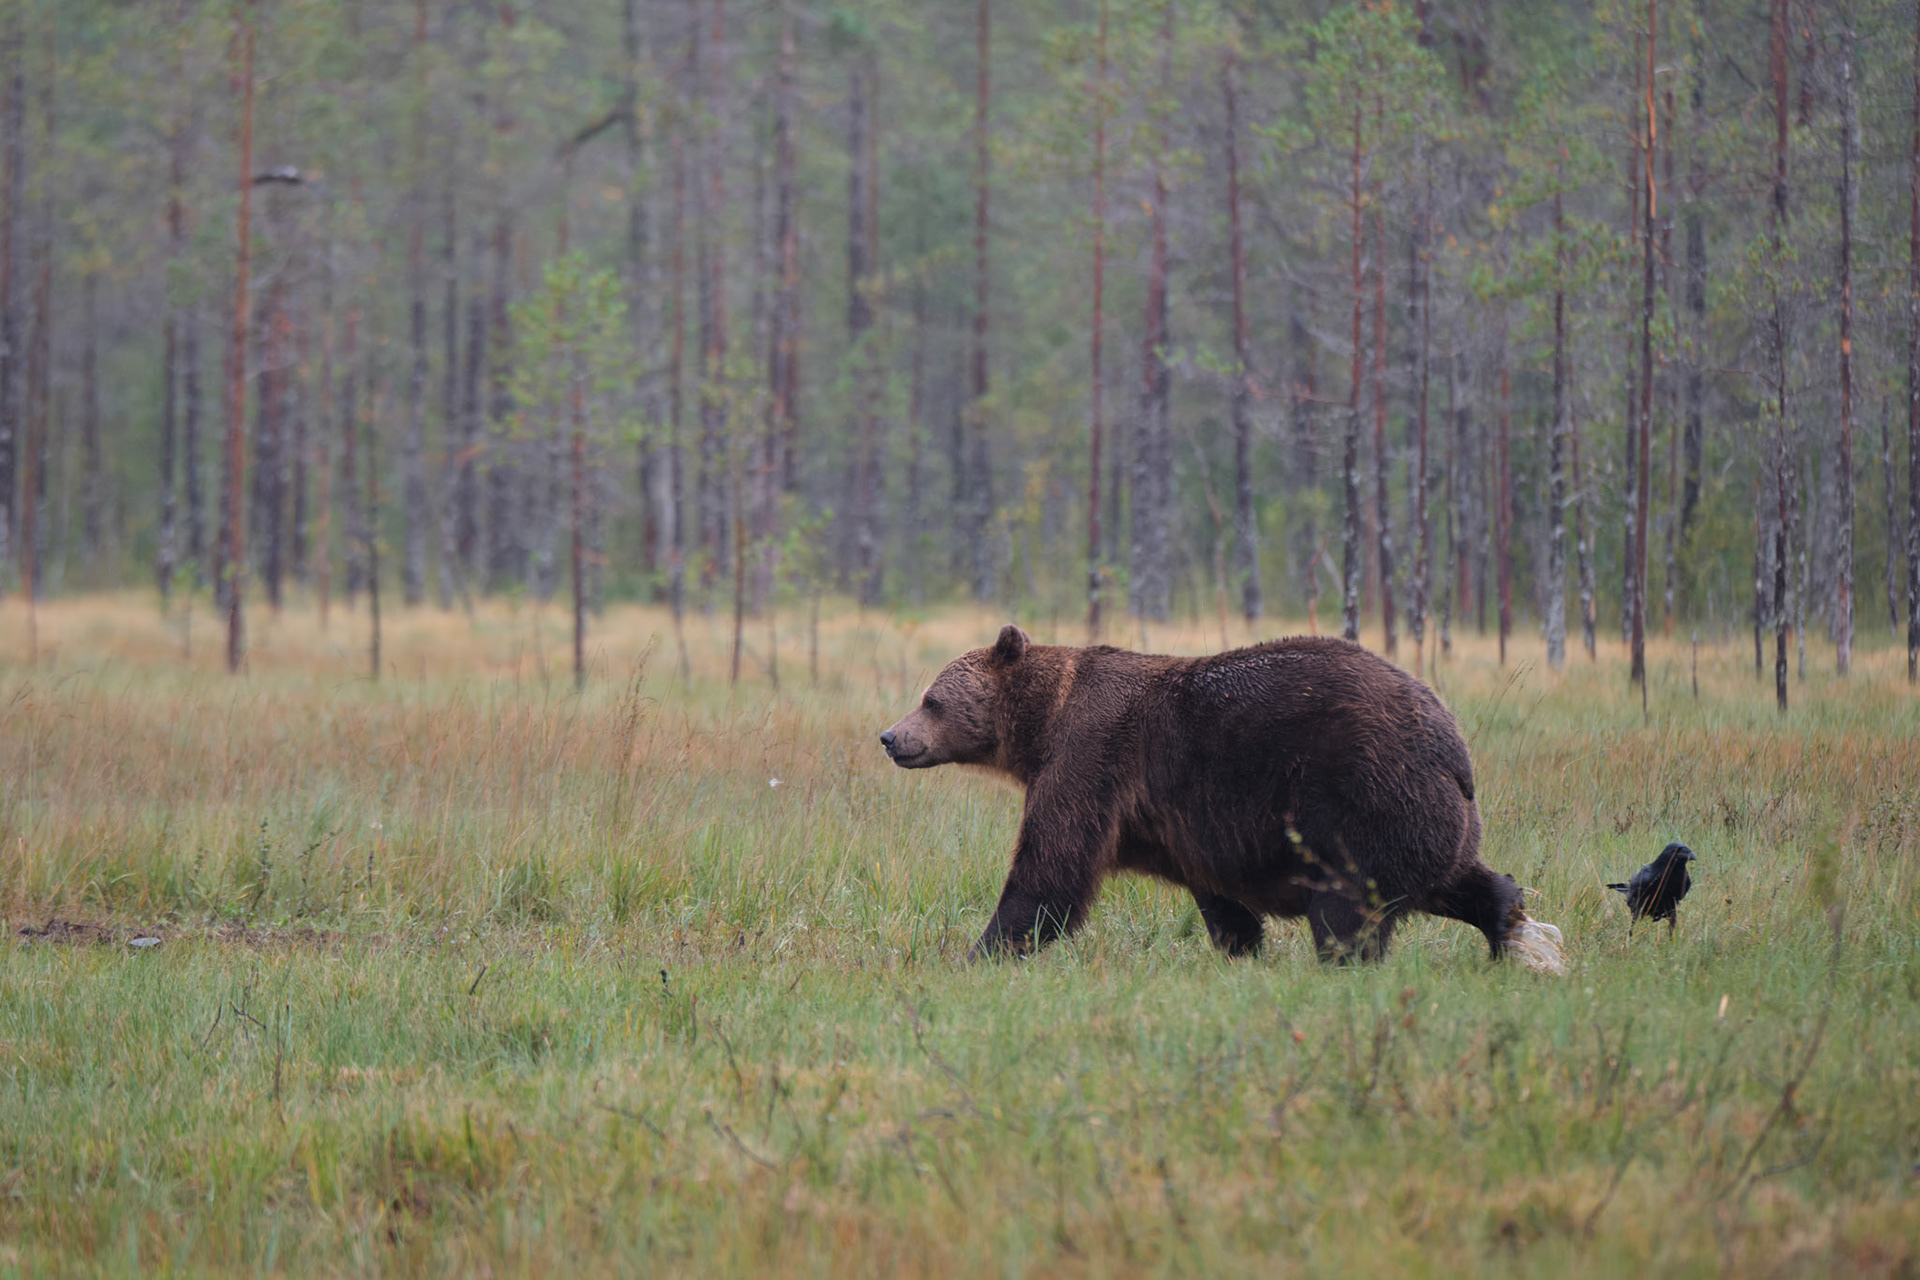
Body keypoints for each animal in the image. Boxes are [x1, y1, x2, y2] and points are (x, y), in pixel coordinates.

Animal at [880, 625, 1563, 972]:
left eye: (931, 699)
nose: (891, 737)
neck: (1040, 725)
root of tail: (1455, 746)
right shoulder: (1184, 822)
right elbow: (1217, 892)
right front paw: (1241, 948)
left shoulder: (1091, 755)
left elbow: (1052, 866)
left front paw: (982, 952)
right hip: (1435, 815)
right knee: (1453, 876)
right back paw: (1510, 924)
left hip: (1363, 795)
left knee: (1346, 906)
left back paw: (1344, 964)